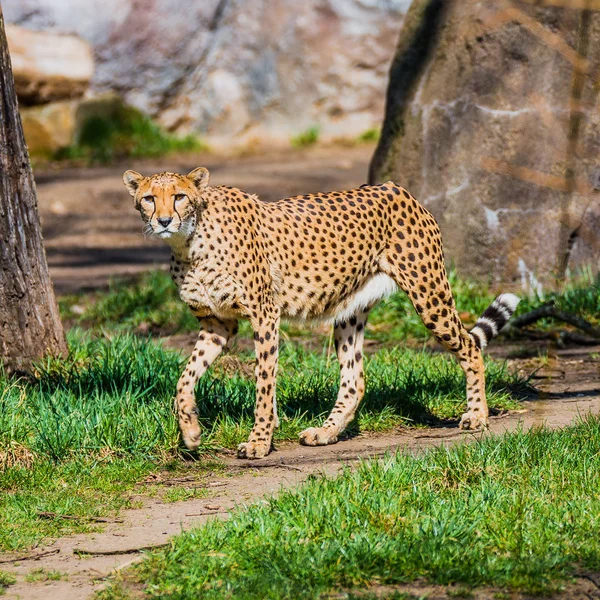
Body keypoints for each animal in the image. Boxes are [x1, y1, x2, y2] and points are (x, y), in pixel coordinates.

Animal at [124, 169, 516, 460]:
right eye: (149, 198)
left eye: (179, 197)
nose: (163, 221)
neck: (189, 244)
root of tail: (395, 188)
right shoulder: (218, 323)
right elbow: (184, 378)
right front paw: (190, 430)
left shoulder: (264, 314)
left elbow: (263, 383)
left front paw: (259, 441)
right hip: (349, 312)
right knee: (355, 379)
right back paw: (326, 432)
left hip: (429, 294)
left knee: (470, 347)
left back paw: (477, 415)